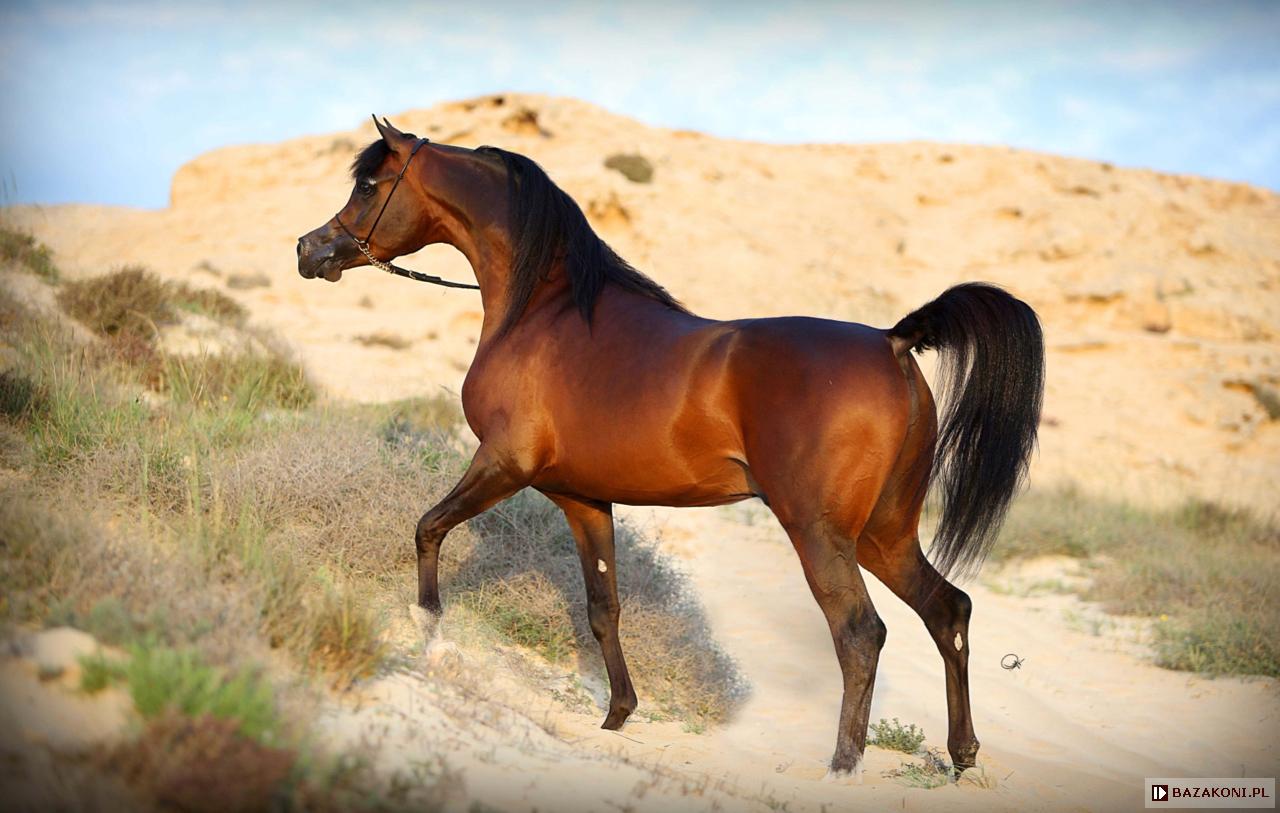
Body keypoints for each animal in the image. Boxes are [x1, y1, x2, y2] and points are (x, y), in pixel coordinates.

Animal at [296, 116, 1044, 776]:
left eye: (370, 185)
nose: (311, 250)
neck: (545, 312)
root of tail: (893, 342)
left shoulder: (503, 463)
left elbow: (428, 528)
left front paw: (427, 626)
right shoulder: (583, 500)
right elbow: (603, 608)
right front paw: (618, 713)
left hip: (822, 532)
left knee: (861, 634)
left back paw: (844, 762)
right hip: (884, 534)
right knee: (948, 611)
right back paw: (961, 754)